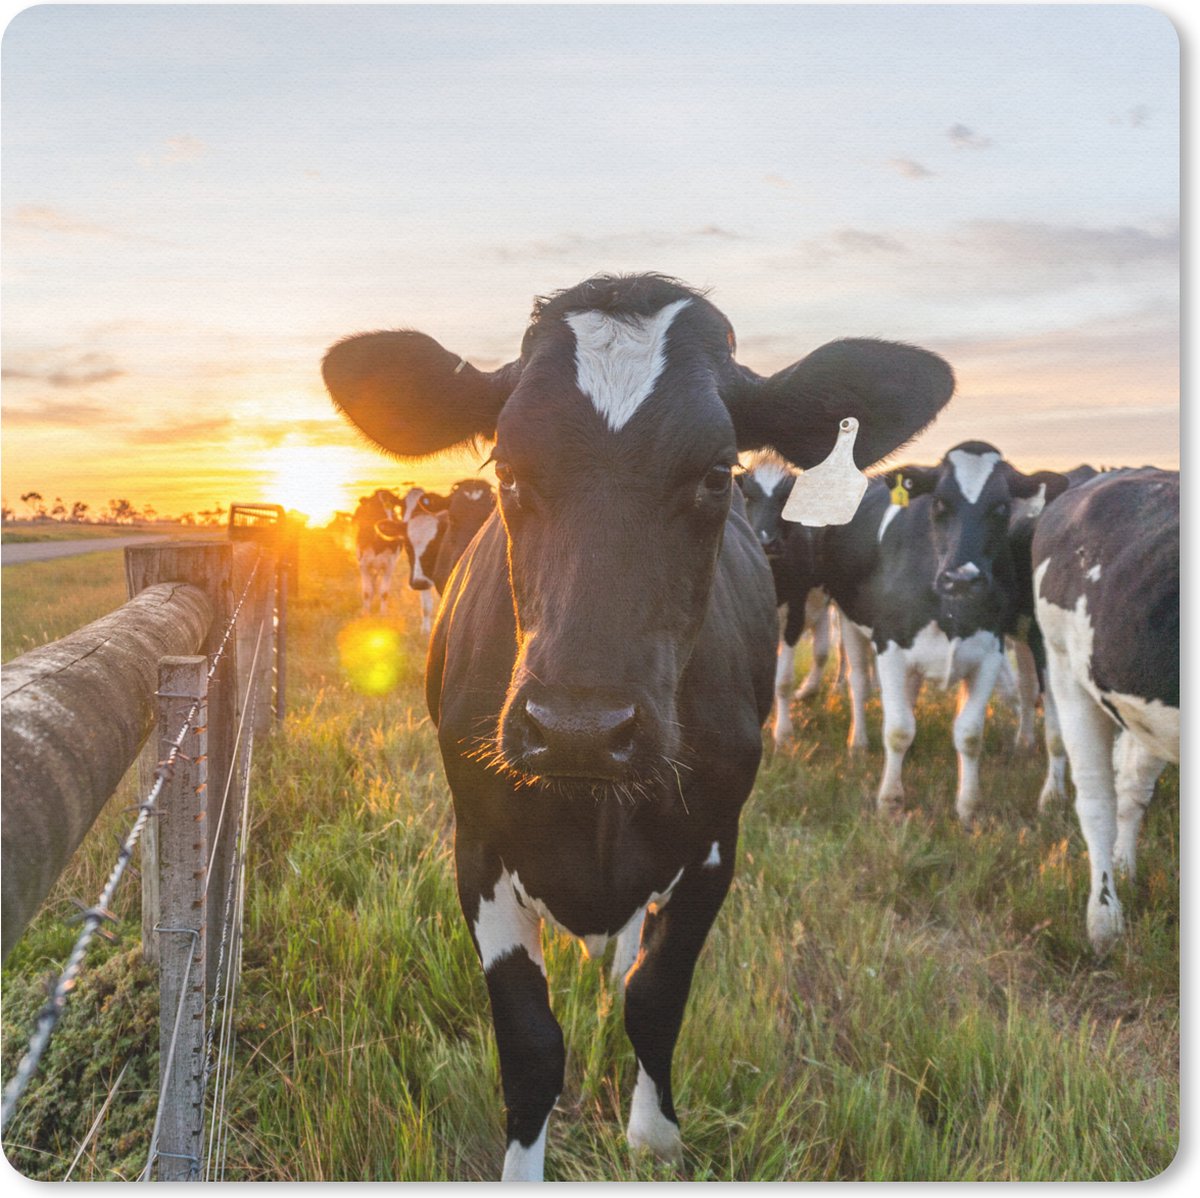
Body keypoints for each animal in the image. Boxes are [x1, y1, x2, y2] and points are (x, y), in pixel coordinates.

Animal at [737, 453, 834, 748]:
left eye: (786, 499)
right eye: (747, 495)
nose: (766, 541)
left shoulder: (795, 611)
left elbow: (783, 680)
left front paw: (782, 733)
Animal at [815, 442, 1068, 824]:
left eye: (1001, 507)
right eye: (938, 503)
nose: (962, 578)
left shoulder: (988, 650)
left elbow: (969, 734)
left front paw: (969, 807)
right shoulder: (889, 644)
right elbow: (897, 728)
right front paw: (890, 801)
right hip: (848, 620)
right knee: (858, 682)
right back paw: (857, 744)